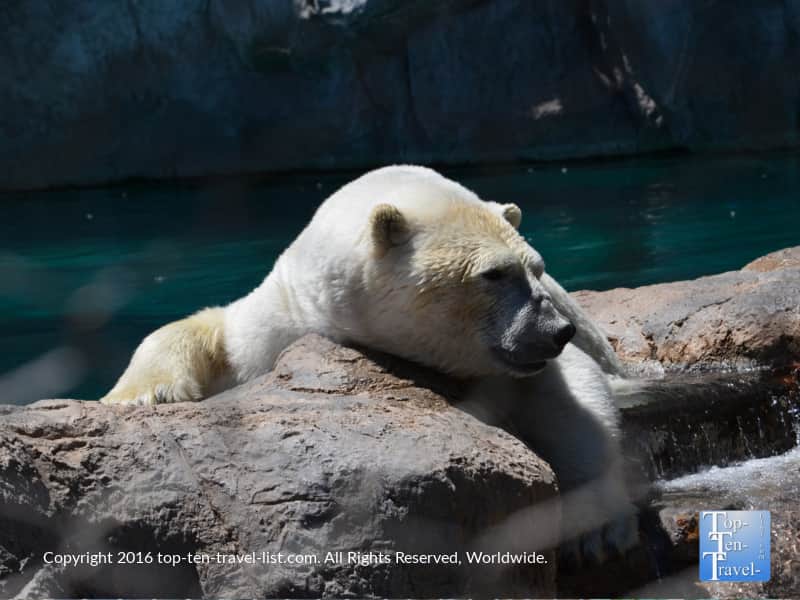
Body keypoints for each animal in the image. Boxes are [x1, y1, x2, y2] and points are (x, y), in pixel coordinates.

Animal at [101, 165, 636, 563]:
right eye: (494, 273)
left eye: (537, 268)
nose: (556, 331)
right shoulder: (281, 318)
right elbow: (207, 331)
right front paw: (142, 394)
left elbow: (573, 399)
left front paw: (598, 531)